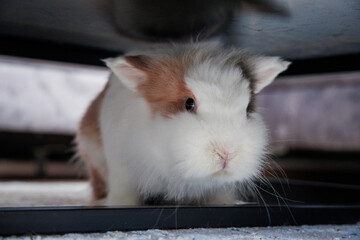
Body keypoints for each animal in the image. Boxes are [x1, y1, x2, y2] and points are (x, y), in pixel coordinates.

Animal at [76, 42, 290, 205]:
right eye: (189, 103)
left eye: (247, 108)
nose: (226, 153)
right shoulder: (122, 172)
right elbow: (124, 194)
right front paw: (120, 205)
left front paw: (224, 203)